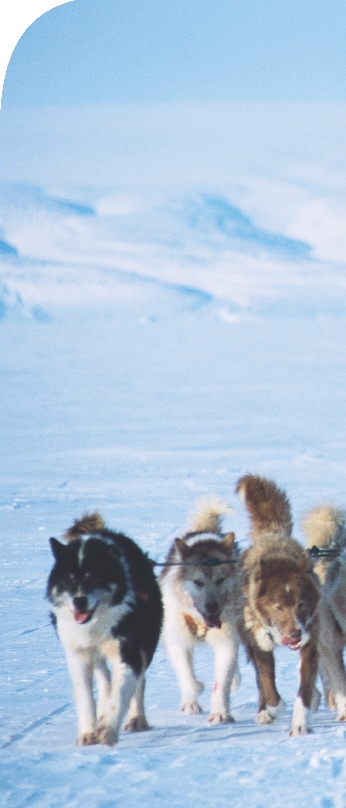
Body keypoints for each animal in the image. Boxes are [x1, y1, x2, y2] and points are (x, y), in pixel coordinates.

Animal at [46, 516, 164, 748]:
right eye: (69, 580)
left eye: (93, 578)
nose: (79, 601)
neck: (96, 621)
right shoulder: (78, 655)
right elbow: (86, 697)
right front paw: (87, 732)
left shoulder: (128, 652)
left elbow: (121, 693)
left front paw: (108, 729)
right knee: (104, 678)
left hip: (144, 645)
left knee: (138, 682)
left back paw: (136, 718)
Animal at [160, 498, 239, 724]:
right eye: (197, 582)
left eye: (220, 580)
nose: (212, 606)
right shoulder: (177, 641)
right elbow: (187, 677)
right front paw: (193, 695)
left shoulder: (227, 642)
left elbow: (222, 681)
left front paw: (220, 712)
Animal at [234, 476, 320, 736]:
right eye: (278, 606)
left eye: (301, 603)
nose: (295, 633)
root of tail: (272, 534)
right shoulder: (259, 644)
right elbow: (268, 683)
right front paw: (272, 709)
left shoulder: (309, 644)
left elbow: (305, 689)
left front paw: (300, 723)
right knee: (260, 681)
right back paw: (264, 711)